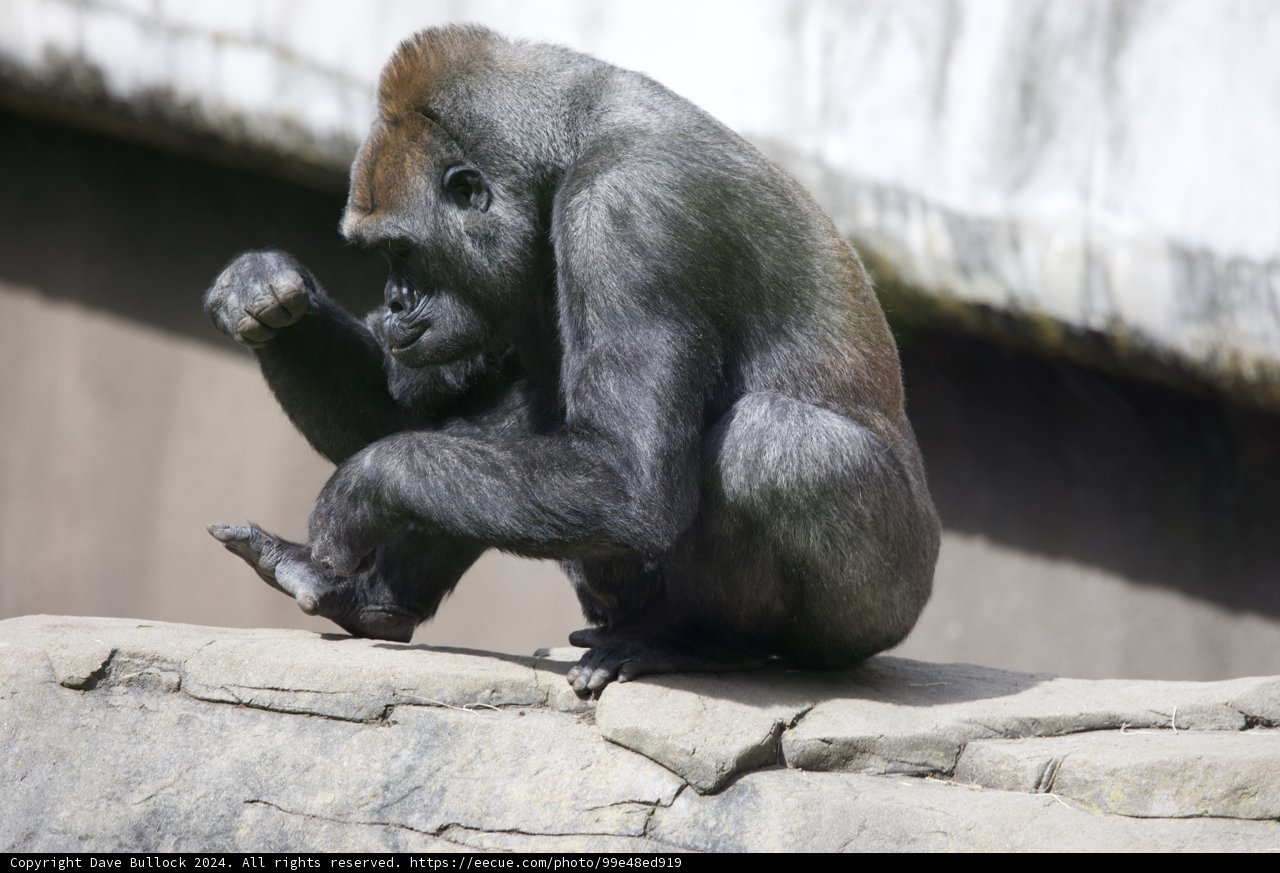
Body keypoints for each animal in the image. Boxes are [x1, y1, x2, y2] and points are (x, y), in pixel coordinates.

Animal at [204, 25, 941, 694]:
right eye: (382, 255)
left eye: (403, 251)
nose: (394, 302)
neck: (564, 147)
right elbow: (403, 415)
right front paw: (262, 293)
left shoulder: (627, 214)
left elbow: (627, 477)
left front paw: (364, 487)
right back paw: (368, 600)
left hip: (885, 608)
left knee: (773, 444)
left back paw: (701, 642)